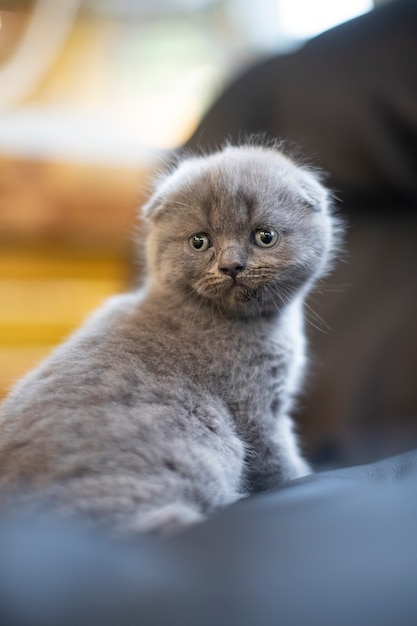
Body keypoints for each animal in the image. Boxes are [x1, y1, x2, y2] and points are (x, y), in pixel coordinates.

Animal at [0, 144, 340, 532]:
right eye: (199, 242)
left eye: (264, 236)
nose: (231, 266)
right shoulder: (254, 405)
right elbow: (278, 459)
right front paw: (303, 476)